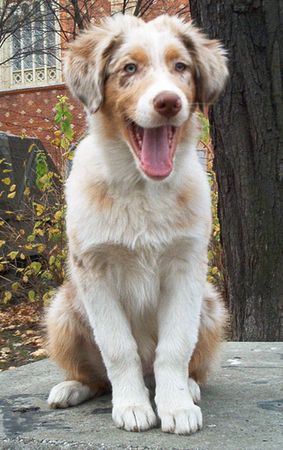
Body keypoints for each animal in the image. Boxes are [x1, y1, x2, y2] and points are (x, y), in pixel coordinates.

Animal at [46, 14, 229, 436]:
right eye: (129, 68)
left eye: (181, 67)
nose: (169, 102)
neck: (142, 187)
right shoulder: (94, 270)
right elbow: (118, 348)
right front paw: (131, 406)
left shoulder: (186, 268)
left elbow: (174, 348)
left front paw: (176, 406)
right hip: (62, 310)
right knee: (97, 377)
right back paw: (72, 387)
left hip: (211, 304)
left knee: (186, 364)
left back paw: (188, 387)